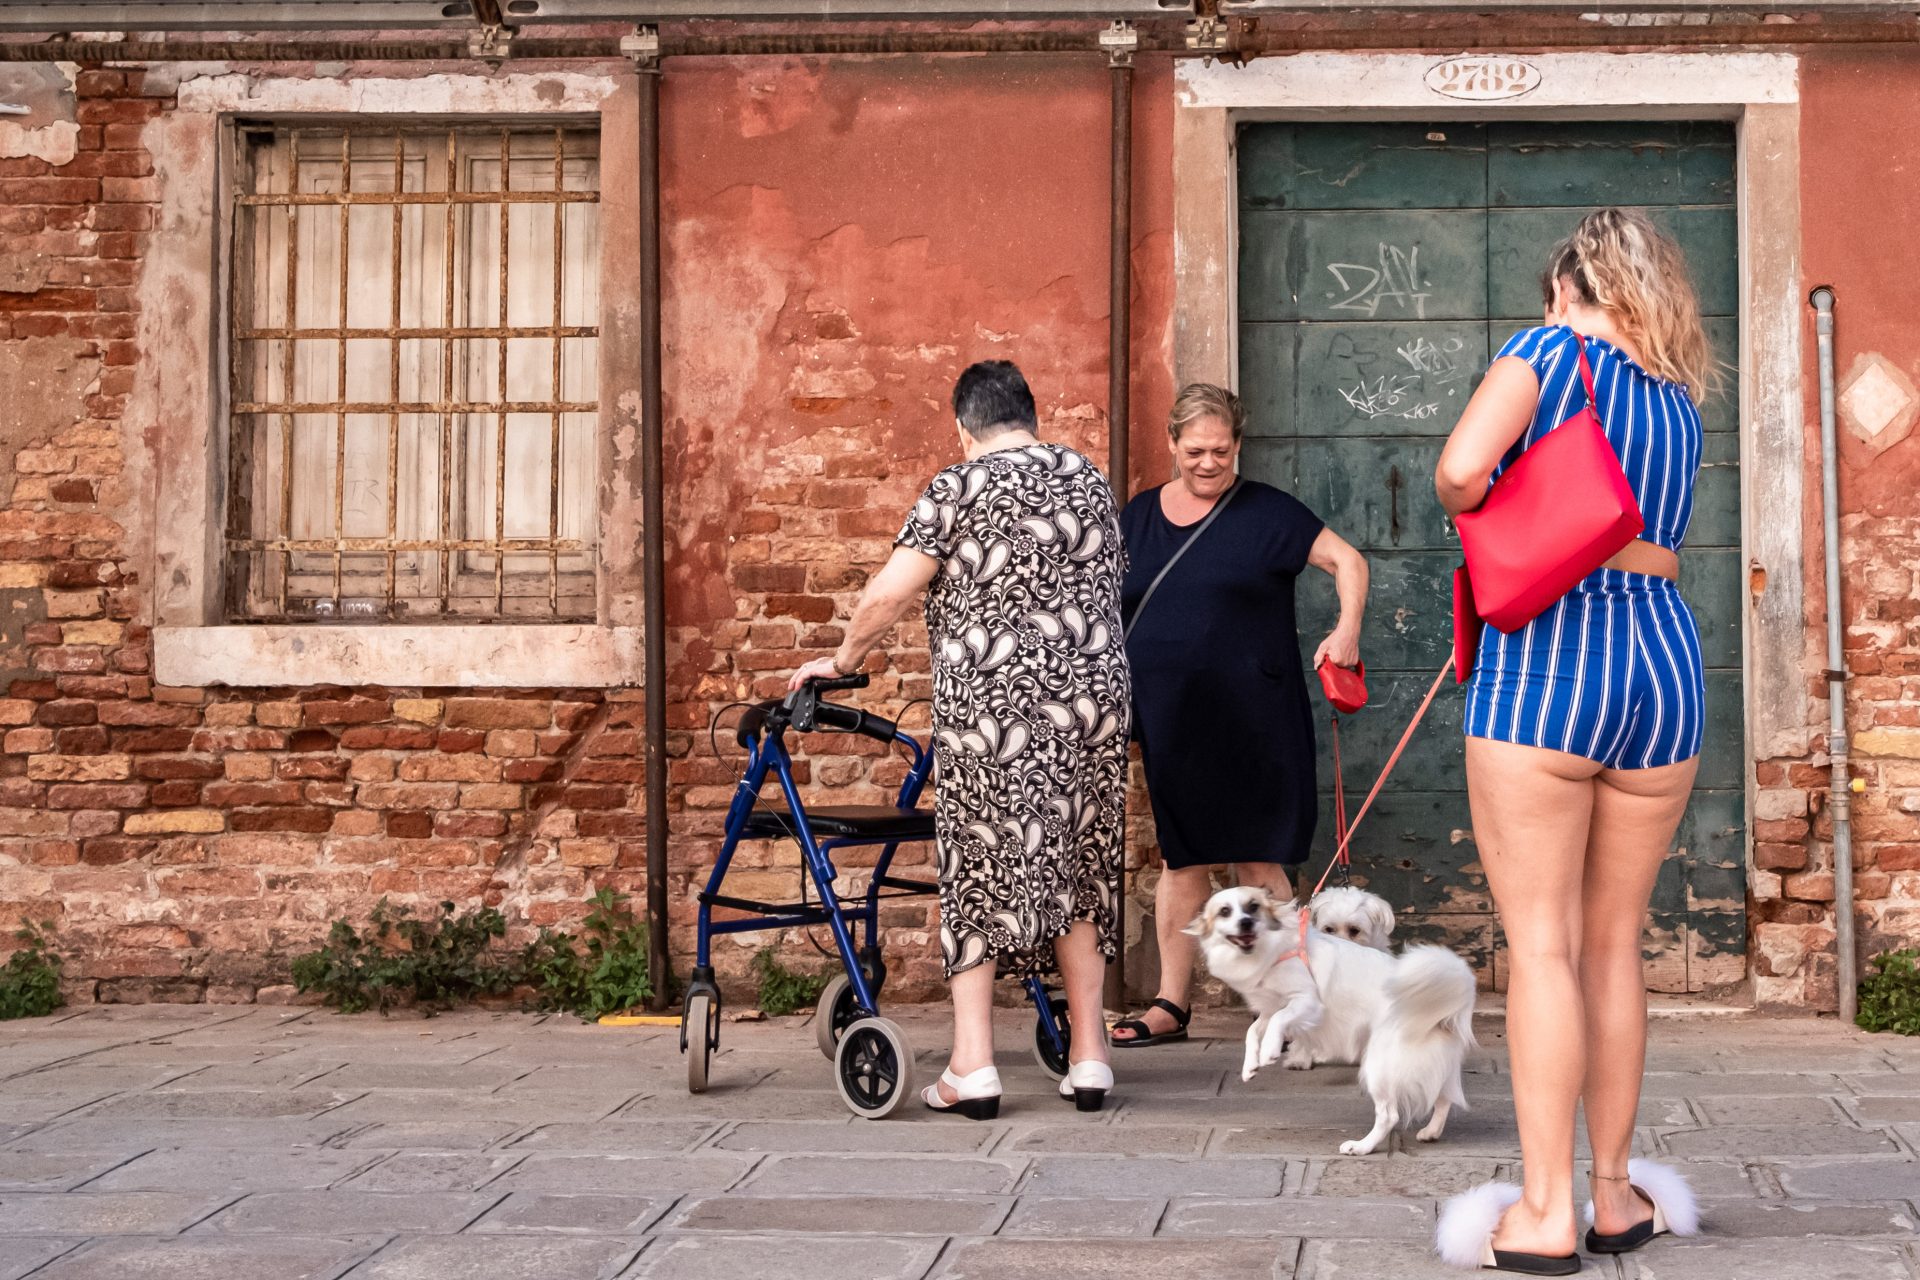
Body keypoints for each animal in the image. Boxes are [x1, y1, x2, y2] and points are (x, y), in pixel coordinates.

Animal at [1190, 886, 1474, 1159]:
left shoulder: (1307, 1003)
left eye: (1253, 907)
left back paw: (1361, 1147)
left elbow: (1277, 1023)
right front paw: (1250, 1065)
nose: (1246, 922)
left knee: (1389, 1115)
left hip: (1378, 1066)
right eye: (1225, 911)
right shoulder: (1271, 1009)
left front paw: (1269, 1051)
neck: (1267, 951)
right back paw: (1431, 1132)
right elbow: (1253, 1030)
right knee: (1444, 1098)